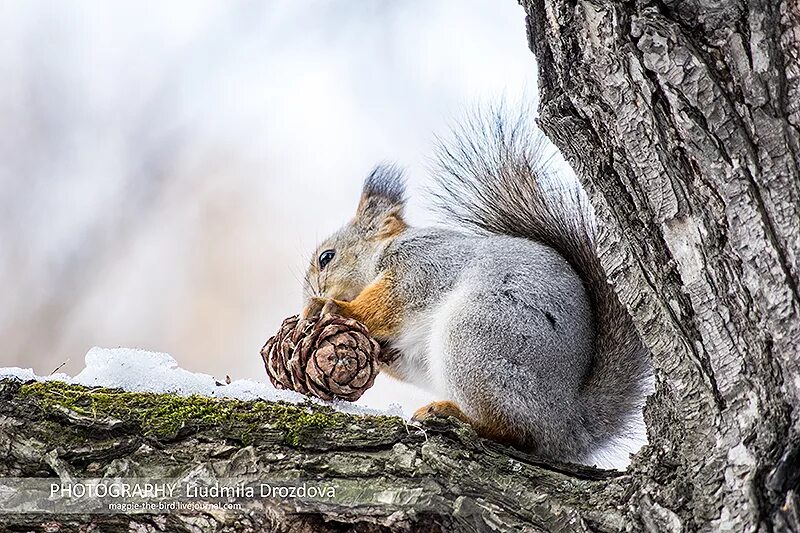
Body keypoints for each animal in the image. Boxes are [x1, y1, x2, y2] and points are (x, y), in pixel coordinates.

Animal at [300, 109, 648, 466]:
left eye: (327, 257)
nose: (310, 292)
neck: (384, 251)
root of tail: (564, 422)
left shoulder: (420, 266)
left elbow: (387, 302)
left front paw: (333, 307)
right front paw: (375, 352)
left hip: (476, 337)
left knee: (515, 432)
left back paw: (454, 414)